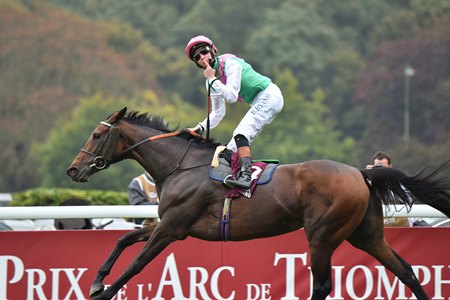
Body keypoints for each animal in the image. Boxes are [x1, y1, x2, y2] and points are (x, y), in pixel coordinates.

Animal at [66, 108, 450, 300]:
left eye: (97, 135)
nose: (73, 169)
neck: (182, 165)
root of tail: (361, 172)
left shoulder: (172, 227)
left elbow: (136, 264)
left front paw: (103, 292)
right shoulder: (173, 225)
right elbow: (124, 238)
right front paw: (97, 281)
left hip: (323, 234)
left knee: (323, 285)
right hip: (365, 234)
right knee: (406, 271)